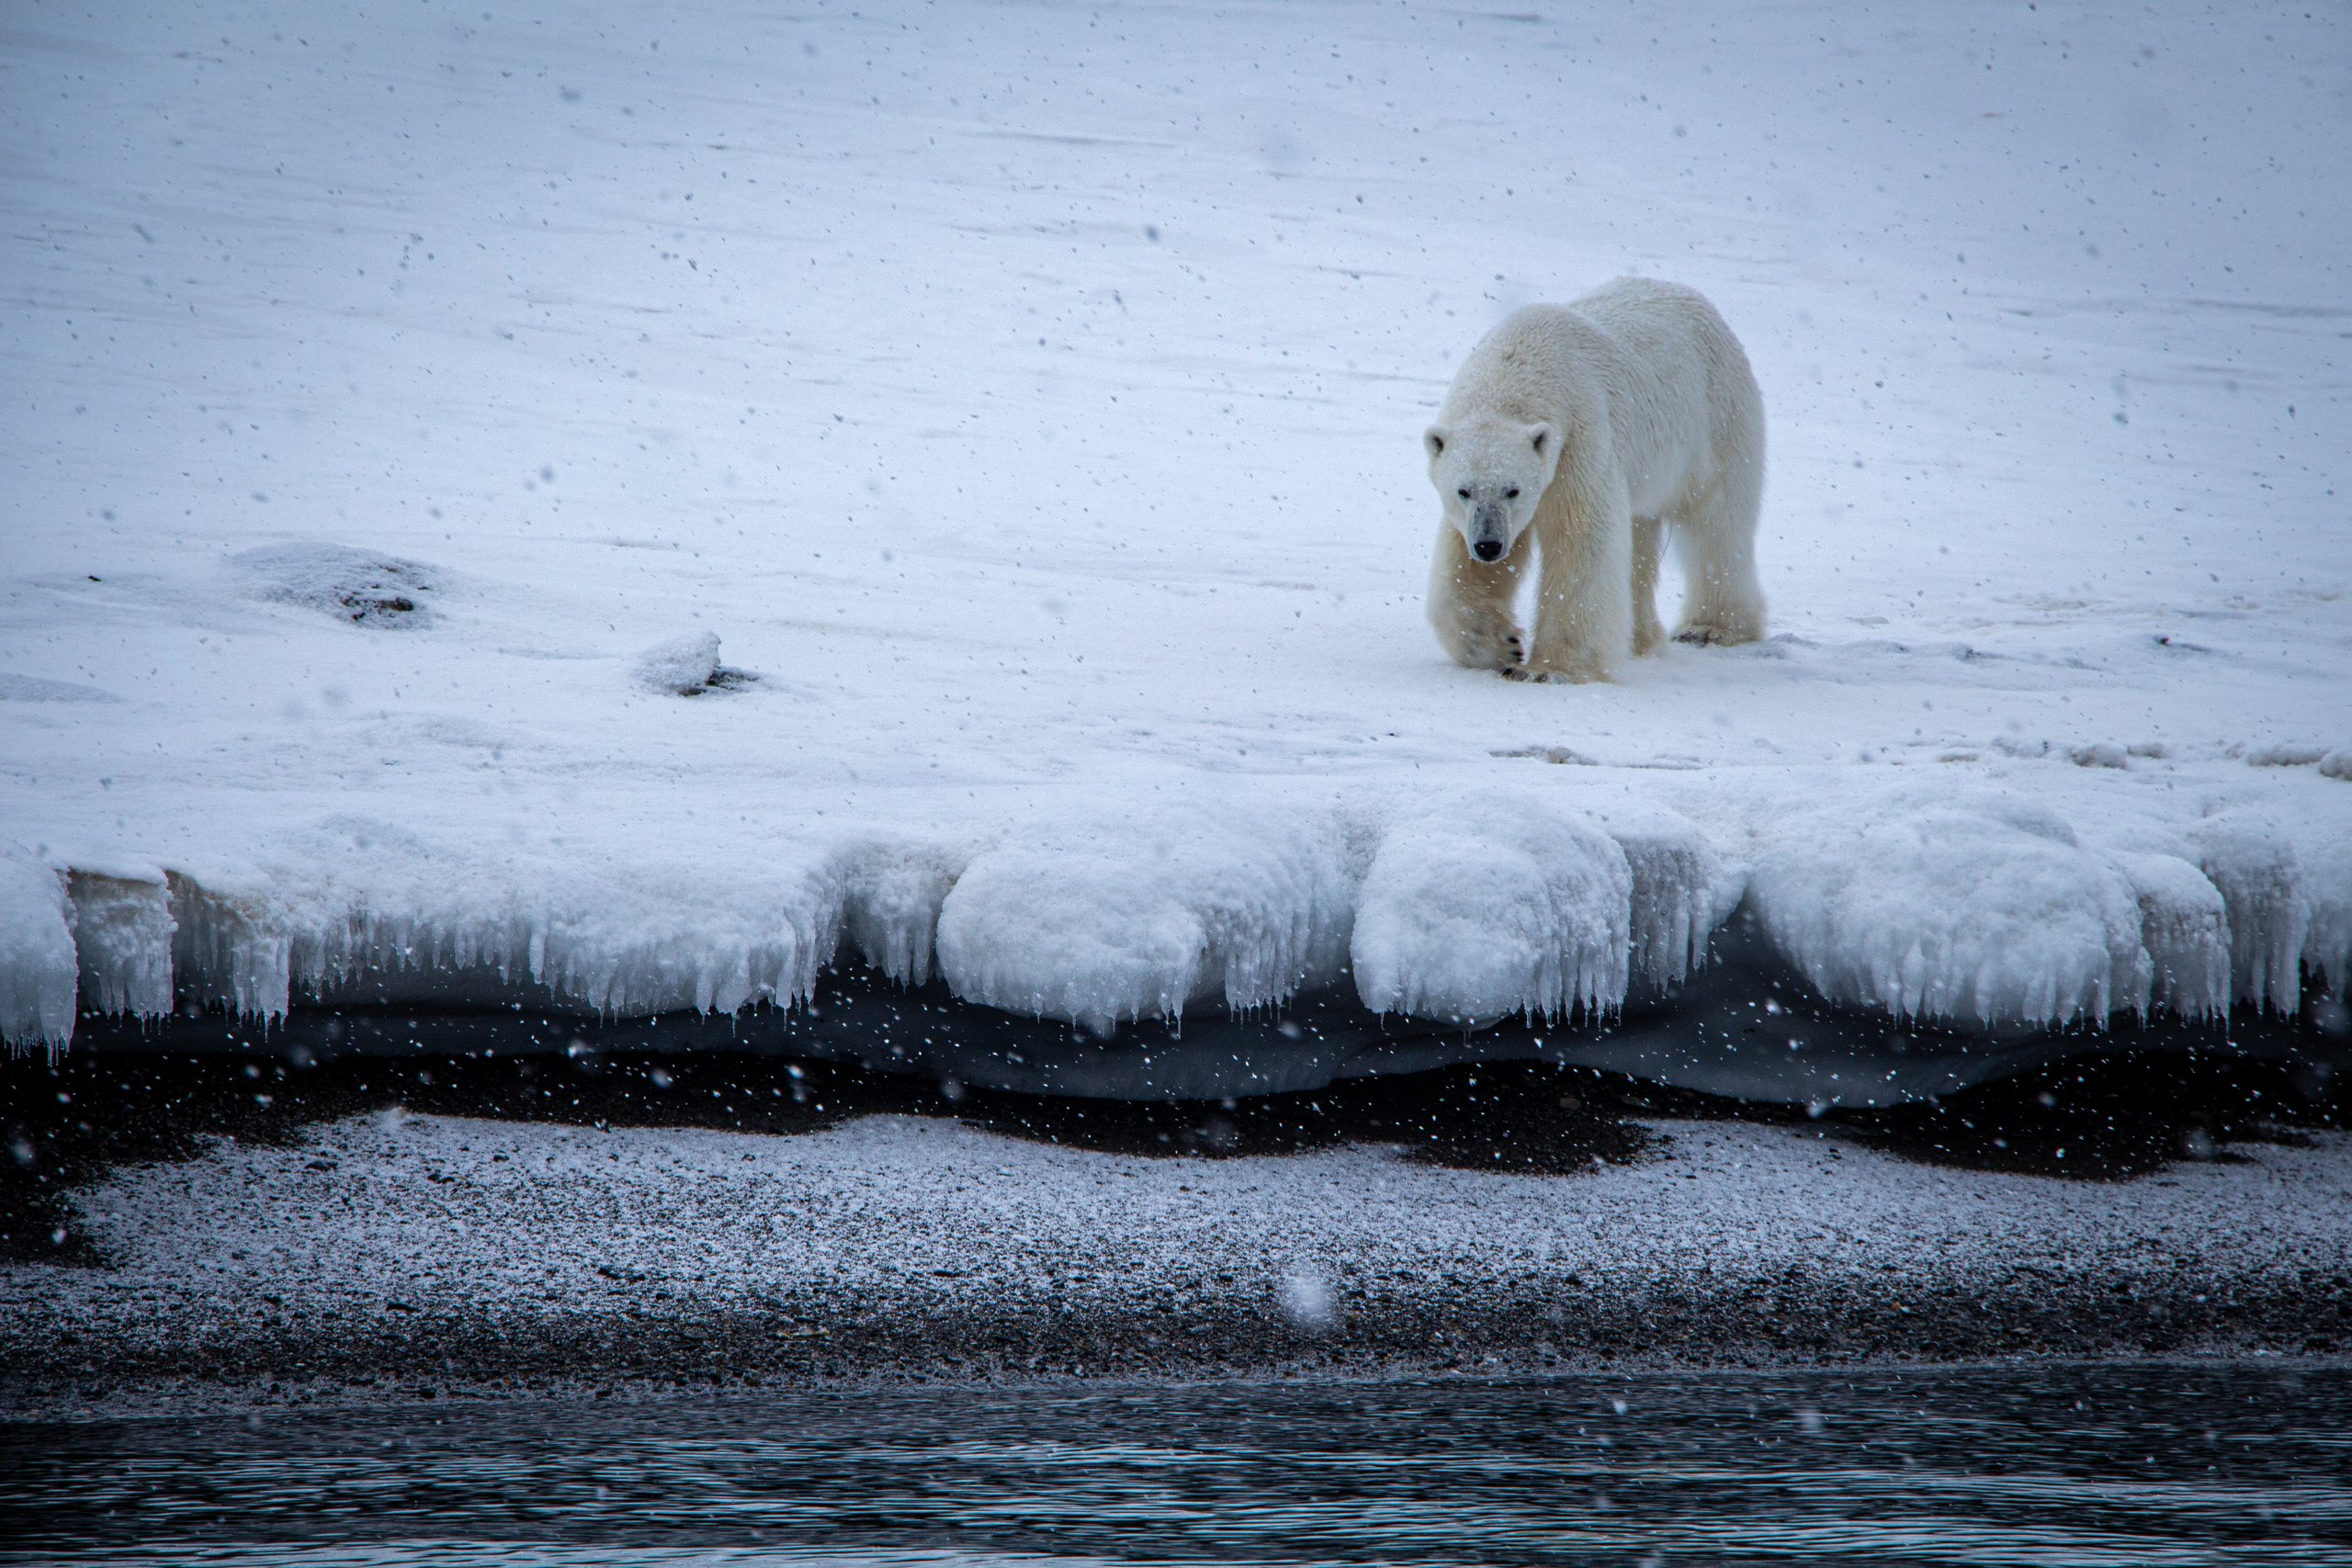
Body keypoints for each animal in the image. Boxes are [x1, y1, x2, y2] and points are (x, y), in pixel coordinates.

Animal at [1423, 278, 1767, 682]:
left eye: (1514, 490)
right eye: (1463, 491)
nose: (1489, 546)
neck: (1517, 365)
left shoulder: (1579, 439)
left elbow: (1580, 537)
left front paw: (1548, 669)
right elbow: (1460, 561)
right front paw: (1497, 643)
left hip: (1718, 420)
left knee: (1717, 525)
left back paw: (1713, 627)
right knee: (1640, 534)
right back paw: (1641, 639)